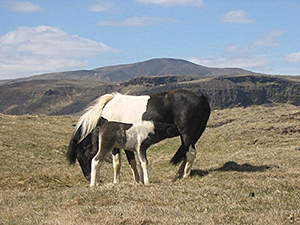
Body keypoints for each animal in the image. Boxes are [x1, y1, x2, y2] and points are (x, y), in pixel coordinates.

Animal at [67, 89, 210, 182]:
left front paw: (116, 182)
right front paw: (138, 179)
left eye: (80, 156)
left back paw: (185, 175)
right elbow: (133, 161)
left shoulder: (116, 144)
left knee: (190, 153)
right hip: (190, 136)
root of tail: (201, 98)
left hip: (186, 134)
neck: (106, 113)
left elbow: (117, 163)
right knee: (187, 153)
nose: (88, 177)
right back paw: (179, 174)